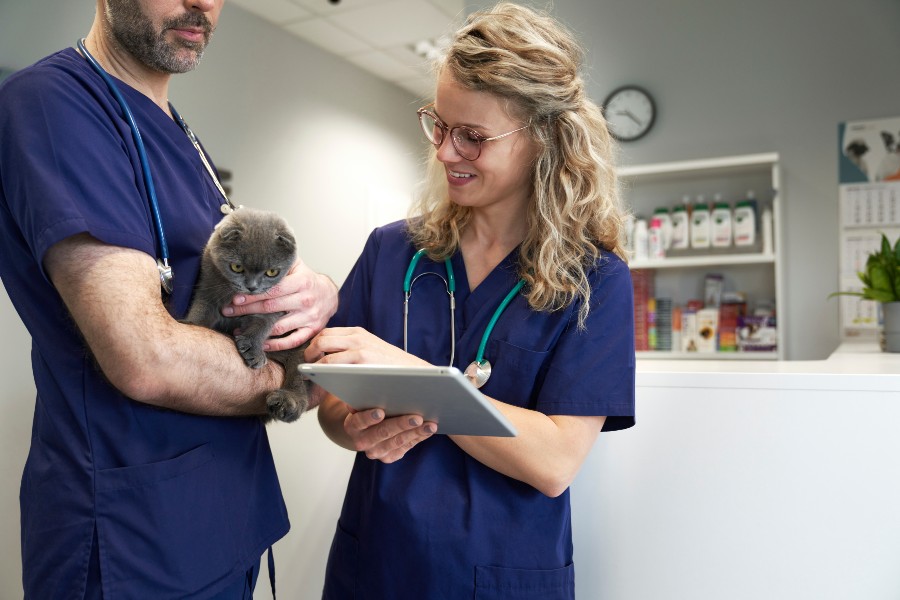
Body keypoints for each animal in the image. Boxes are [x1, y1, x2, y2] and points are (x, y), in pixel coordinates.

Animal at [183, 209, 310, 424]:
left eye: (272, 272)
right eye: (237, 267)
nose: (252, 287)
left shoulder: (272, 305)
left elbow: (262, 324)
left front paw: (253, 348)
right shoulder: (207, 287)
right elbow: (201, 309)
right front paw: (189, 323)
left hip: (302, 349)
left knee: (298, 379)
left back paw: (286, 402)